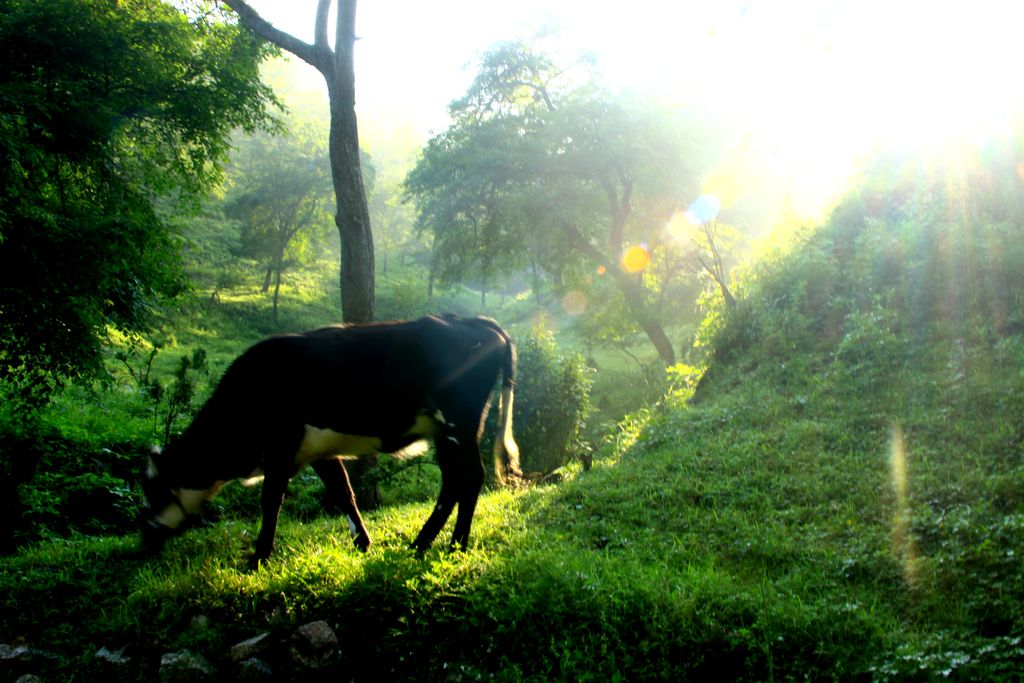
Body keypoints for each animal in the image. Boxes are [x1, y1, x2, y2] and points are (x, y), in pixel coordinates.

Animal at [140, 315, 520, 565]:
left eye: (153, 489)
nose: (145, 535)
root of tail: (473, 321)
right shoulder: (317, 452)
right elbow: (343, 493)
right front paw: (362, 542)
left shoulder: (279, 448)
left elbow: (271, 501)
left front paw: (258, 557)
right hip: (446, 432)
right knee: (453, 482)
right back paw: (425, 544)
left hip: (459, 425)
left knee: (470, 478)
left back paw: (455, 544)